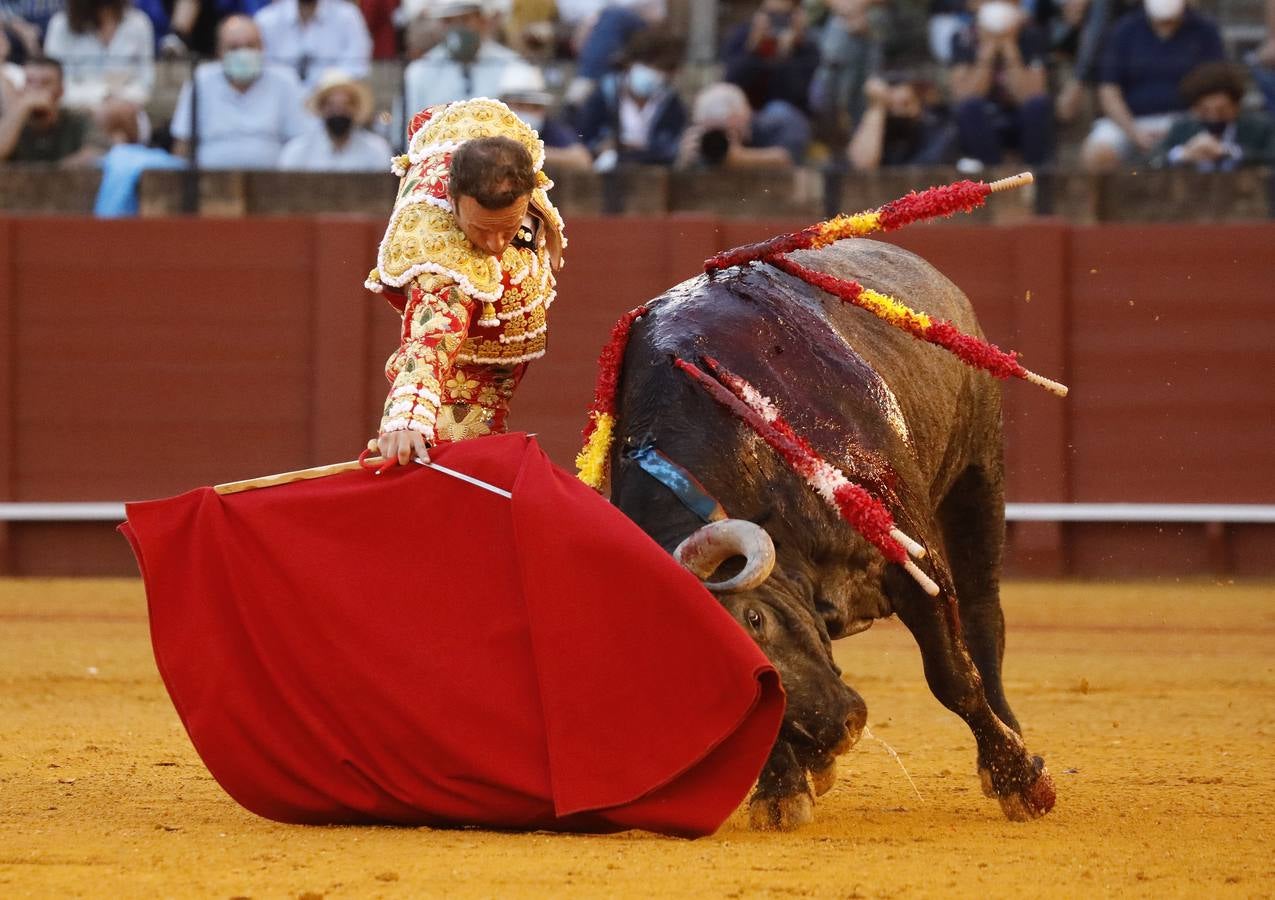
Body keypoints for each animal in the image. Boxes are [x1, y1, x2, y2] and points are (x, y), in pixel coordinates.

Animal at [606, 238, 1055, 826]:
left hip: (978, 473)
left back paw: (1011, 746)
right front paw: (783, 790)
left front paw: (1019, 781)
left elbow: (952, 675)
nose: (841, 731)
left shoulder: (913, 559)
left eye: (754, 618)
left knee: (984, 616)